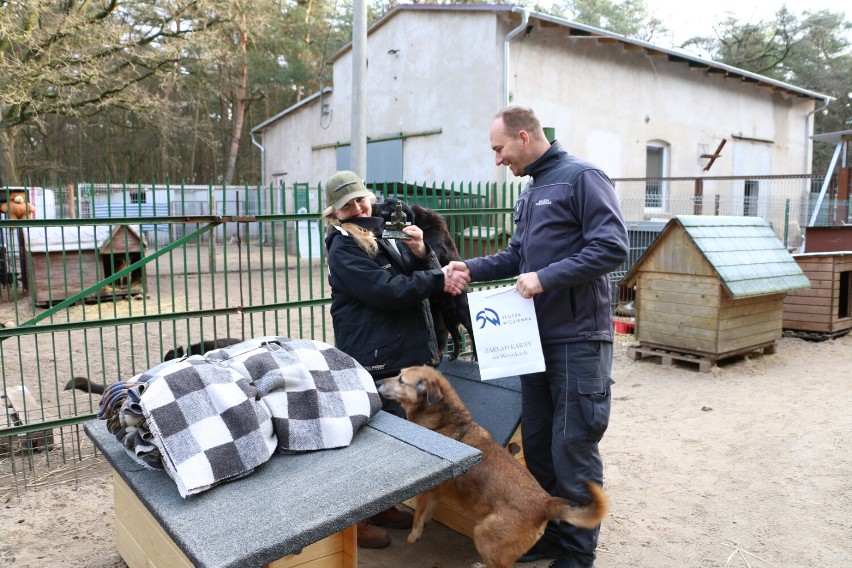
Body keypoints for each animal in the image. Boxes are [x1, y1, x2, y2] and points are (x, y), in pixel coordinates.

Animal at [376, 197, 476, 362]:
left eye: (388, 205)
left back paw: (475, 357)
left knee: (473, 335)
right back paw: (453, 355)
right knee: (456, 337)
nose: (373, 204)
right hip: (448, 318)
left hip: (464, 315)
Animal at [376, 366, 608, 564]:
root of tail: (545, 503)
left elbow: (418, 515)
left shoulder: (428, 489)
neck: (446, 419)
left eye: (401, 380)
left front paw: (414, 534)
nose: (377, 381)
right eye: (398, 374)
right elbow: (428, 510)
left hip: (484, 535)